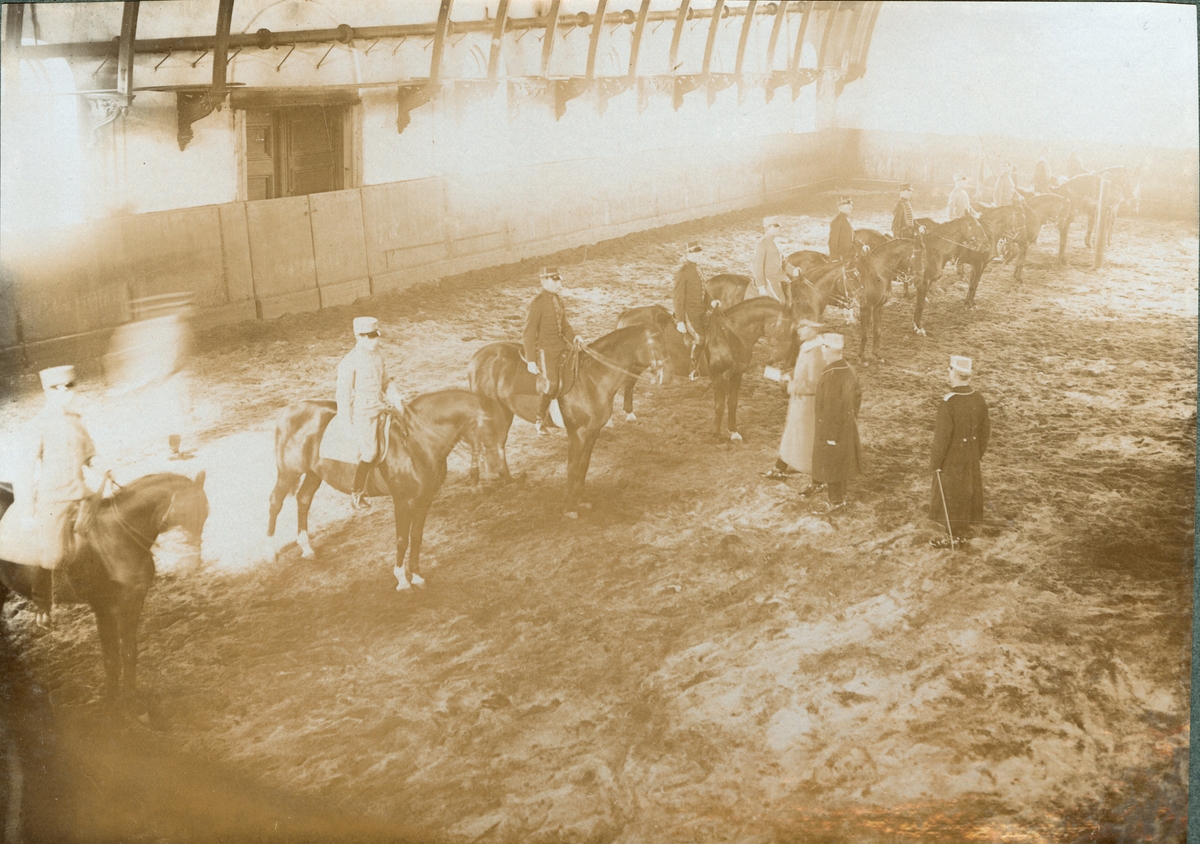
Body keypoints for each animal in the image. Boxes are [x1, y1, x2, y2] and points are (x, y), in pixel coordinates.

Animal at [0, 472, 209, 714]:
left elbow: (128, 652)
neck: (117, 537)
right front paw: (112, 704)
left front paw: (131, 700)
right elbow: (111, 659)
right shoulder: (104, 608)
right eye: (185, 513)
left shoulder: (133, 602)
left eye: (205, 514)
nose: (192, 564)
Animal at [267, 390, 509, 590]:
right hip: (289, 472)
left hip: (314, 473)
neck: (416, 442)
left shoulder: (425, 498)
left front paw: (417, 576)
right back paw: (271, 553)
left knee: (303, 499)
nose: (499, 469)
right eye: (490, 427)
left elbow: (416, 536)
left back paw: (306, 548)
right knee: (275, 503)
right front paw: (402, 580)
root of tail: (289, 410)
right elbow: (402, 539)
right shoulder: (402, 500)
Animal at [468, 324, 678, 517]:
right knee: (478, 443)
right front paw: (569, 506)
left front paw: (582, 499)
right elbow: (572, 467)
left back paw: (509, 481)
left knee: (498, 443)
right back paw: (476, 484)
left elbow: (583, 466)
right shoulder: (577, 433)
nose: (668, 376)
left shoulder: (593, 431)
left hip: (504, 413)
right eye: (655, 344)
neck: (593, 378)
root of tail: (477, 357)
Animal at [700, 297, 798, 443]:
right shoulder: (720, 376)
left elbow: (732, 403)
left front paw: (734, 432)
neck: (729, 336)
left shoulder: (736, 374)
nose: (792, 359)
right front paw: (717, 435)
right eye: (790, 328)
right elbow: (719, 406)